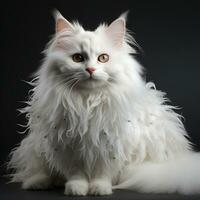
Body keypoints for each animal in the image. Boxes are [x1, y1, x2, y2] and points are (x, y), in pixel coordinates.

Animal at [7, 10, 200, 195]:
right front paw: (77, 188)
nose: (91, 69)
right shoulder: (68, 146)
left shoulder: (111, 145)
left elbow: (103, 172)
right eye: (77, 58)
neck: (88, 102)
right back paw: (38, 182)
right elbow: (76, 173)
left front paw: (100, 188)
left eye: (103, 58)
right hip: (37, 147)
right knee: (41, 170)